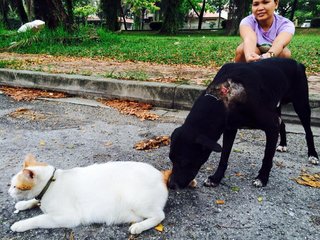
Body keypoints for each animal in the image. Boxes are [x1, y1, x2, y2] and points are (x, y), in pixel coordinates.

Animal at [169, 57, 318, 188]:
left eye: (185, 162)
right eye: (171, 159)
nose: (171, 185)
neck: (224, 98)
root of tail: (298, 63)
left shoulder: (271, 125)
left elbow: (267, 157)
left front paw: (262, 178)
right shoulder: (229, 128)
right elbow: (224, 156)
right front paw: (216, 178)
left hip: (301, 104)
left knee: (308, 131)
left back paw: (313, 155)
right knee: (283, 123)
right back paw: (283, 144)